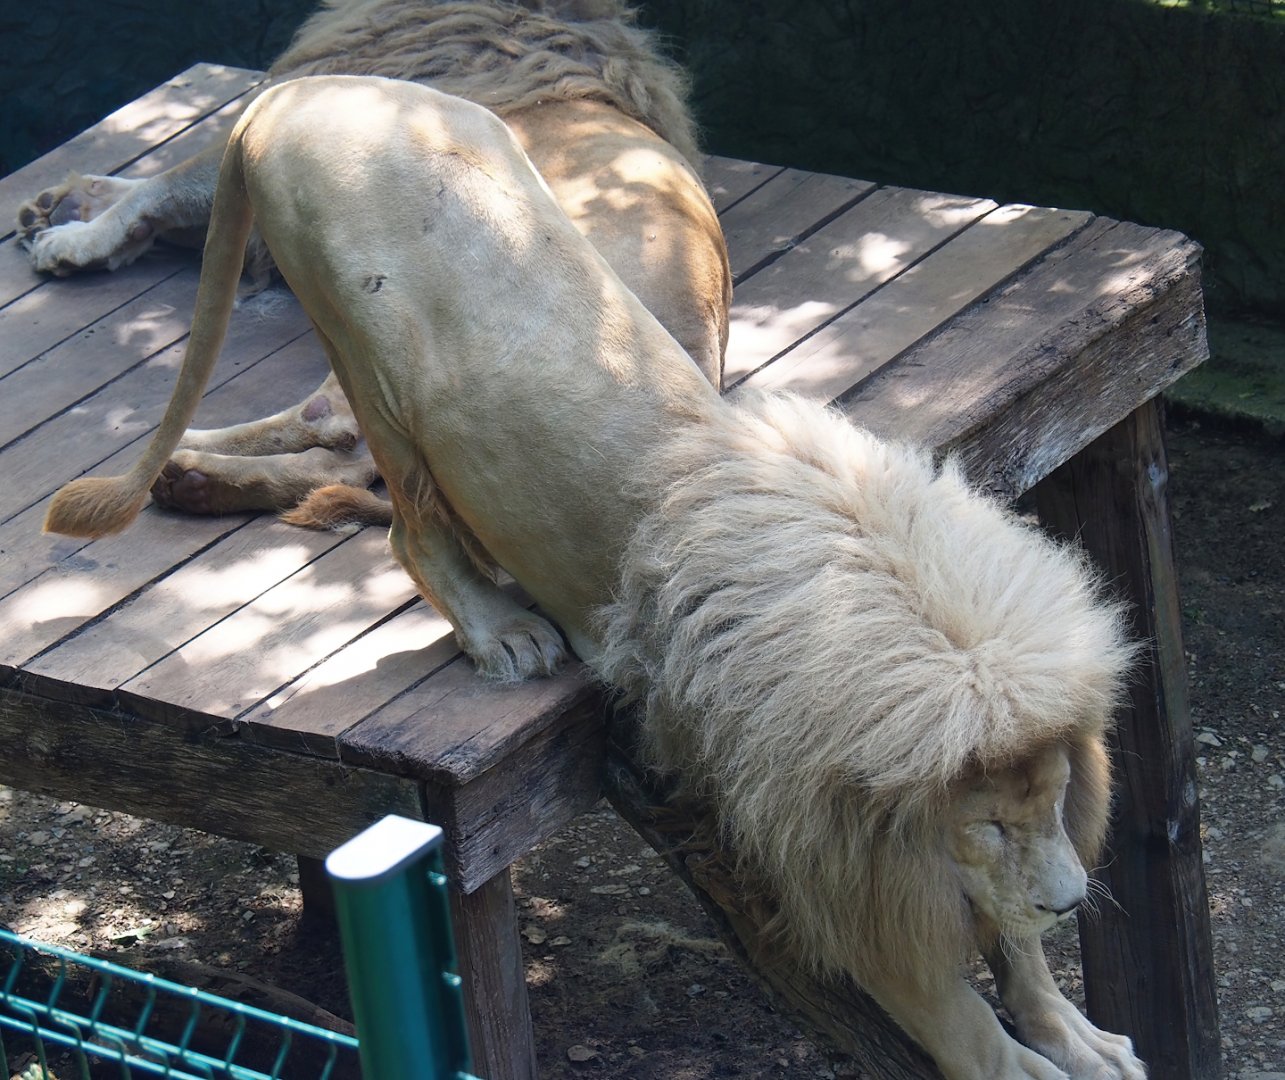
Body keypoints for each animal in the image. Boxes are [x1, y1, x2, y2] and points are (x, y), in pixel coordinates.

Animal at [17, 0, 730, 519]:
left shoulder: (273, 123)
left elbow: (168, 184)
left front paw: (72, 238)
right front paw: (64, 203)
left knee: (328, 427)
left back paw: (190, 455)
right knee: (343, 460)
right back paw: (200, 482)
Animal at [41, 73, 1146, 1079]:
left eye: (1054, 802)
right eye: (990, 822)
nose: (1069, 901)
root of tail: (302, 90)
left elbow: (1013, 953)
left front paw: (1076, 1030)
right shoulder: (825, 849)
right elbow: (961, 1022)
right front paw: (1027, 1050)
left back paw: (192, 472)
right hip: (372, 356)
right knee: (399, 520)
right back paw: (495, 627)